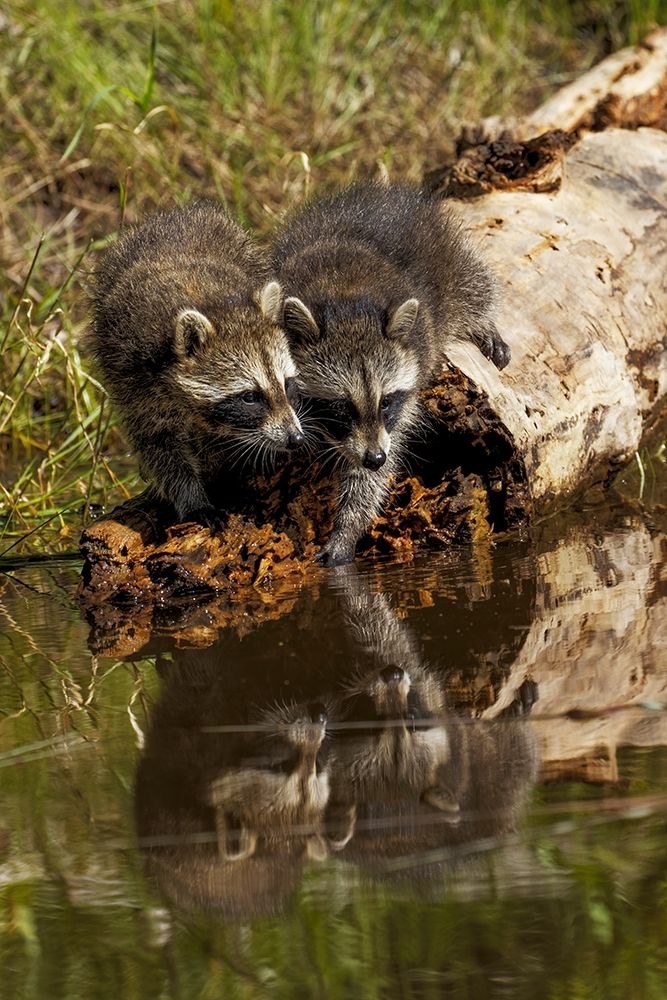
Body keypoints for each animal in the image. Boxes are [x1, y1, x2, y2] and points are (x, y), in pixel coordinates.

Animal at [89, 201, 304, 526]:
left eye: (287, 384)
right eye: (250, 397)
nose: (295, 438)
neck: (215, 307)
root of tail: (174, 214)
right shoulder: (137, 379)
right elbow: (160, 445)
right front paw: (191, 497)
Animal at [271, 181, 510, 564]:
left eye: (385, 402)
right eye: (340, 407)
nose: (373, 457)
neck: (347, 301)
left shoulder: (406, 394)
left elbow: (379, 467)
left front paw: (349, 524)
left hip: (448, 259)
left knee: (475, 286)